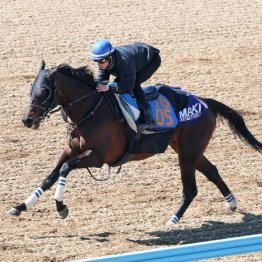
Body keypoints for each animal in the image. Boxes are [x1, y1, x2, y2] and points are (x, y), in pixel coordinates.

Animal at [7, 61, 260, 225]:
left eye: (44, 91)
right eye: (31, 89)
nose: (27, 120)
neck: (90, 111)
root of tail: (205, 102)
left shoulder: (97, 157)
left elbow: (65, 170)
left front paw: (61, 207)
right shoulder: (71, 150)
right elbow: (50, 176)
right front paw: (20, 207)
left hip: (188, 153)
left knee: (190, 189)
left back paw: (173, 220)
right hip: (188, 149)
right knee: (213, 171)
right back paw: (232, 203)